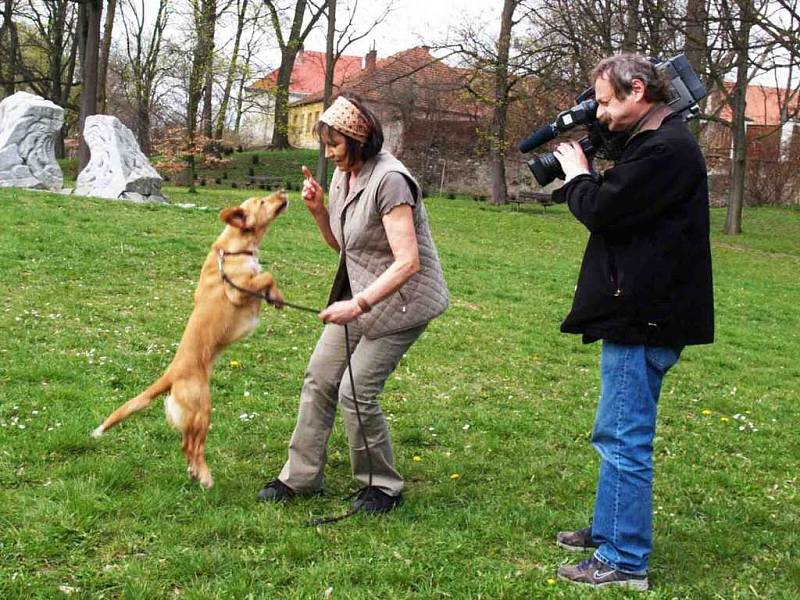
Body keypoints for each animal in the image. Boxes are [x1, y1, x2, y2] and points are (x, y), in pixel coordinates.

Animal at [92, 192, 290, 488]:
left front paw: (275, 297)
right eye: (262, 202)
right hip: (202, 411)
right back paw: (204, 476)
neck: (232, 250)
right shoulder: (239, 289)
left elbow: (267, 278)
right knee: (192, 447)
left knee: (186, 446)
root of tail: (170, 375)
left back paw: (195, 473)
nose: (283, 193)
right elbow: (266, 275)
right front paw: (274, 293)